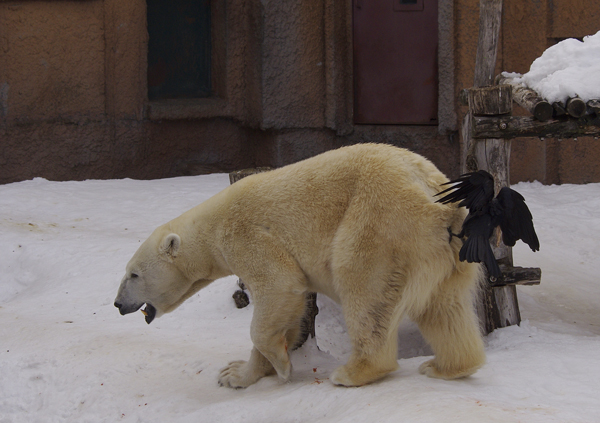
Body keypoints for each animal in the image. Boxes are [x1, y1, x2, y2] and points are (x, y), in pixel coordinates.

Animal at [115, 144, 486, 390]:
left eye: (133, 274)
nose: (118, 304)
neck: (212, 227)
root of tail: (436, 200)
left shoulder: (248, 237)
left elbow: (278, 287)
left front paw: (280, 368)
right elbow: (290, 306)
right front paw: (236, 373)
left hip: (382, 224)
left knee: (364, 287)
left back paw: (352, 372)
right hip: (448, 253)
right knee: (445, 307)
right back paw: (446, 366)